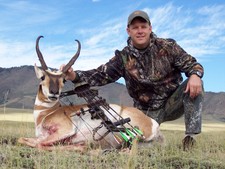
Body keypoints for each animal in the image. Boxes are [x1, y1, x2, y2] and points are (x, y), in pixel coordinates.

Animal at [18, 36, 162, 152]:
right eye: (43, 77)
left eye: (63, 80)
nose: (54, 93)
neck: (45, 114)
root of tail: (152, 122)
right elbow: (23, 139)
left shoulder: (67, 129)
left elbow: (39, 144)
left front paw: (78, 146)